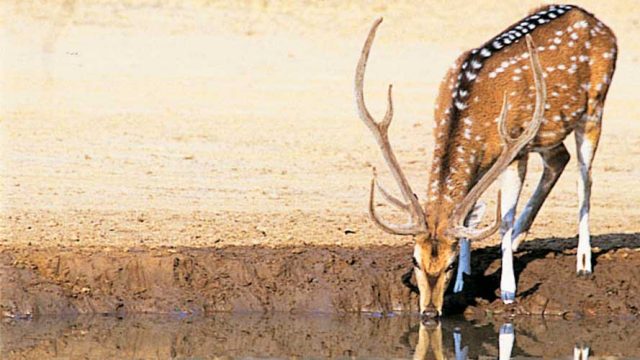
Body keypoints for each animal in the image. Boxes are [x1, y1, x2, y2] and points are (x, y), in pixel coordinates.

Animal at [356, 3, 616, 318]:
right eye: (414, 260)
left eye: (449, 264)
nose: (429, 312)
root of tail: (596, 21)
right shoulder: (486, 159)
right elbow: (468, 214)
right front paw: (463, 282)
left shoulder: (515, 148)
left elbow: (504, 218)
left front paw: (507, 290)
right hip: (547, 132)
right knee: (559, 159)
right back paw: (517, 241)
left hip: (594, 107)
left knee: (584, 177)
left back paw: (583, 262)